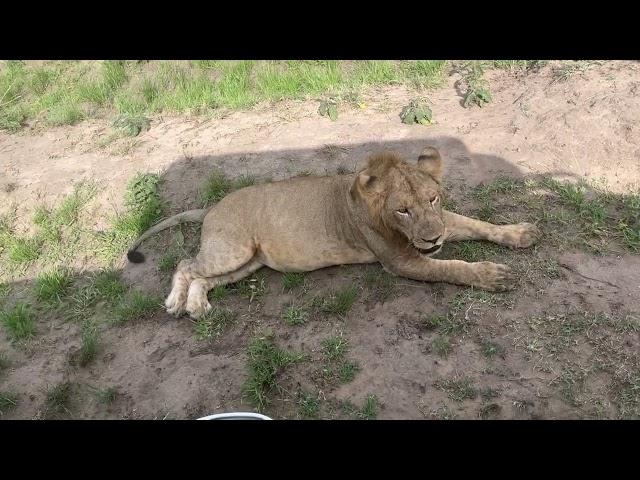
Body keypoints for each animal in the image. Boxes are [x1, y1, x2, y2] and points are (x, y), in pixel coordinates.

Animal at [129, 146, 540, 318]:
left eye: (433, 198)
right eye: (402, 210)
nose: (433, 239)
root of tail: (212, 207)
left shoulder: (440, 224)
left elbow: (476, 223)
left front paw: (520, 233)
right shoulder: (402, 261)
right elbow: (452, 268)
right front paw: (494, 275)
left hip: (249, 263)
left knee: (203, 277)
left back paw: (197, 306)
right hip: (233, 249)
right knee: (185, 264)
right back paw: (175, 304)